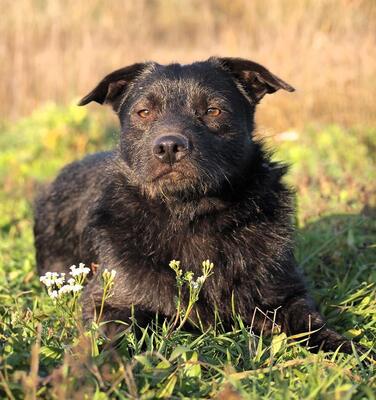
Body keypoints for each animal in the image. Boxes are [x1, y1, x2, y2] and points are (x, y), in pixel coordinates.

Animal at [35, 57, 362, 354]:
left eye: (213, 110)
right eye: (144, 112)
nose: (169, 147)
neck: (190, 214)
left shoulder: (285, 295)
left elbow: (312, 325)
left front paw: (347, 351)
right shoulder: (108, 299)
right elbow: (109, 340)